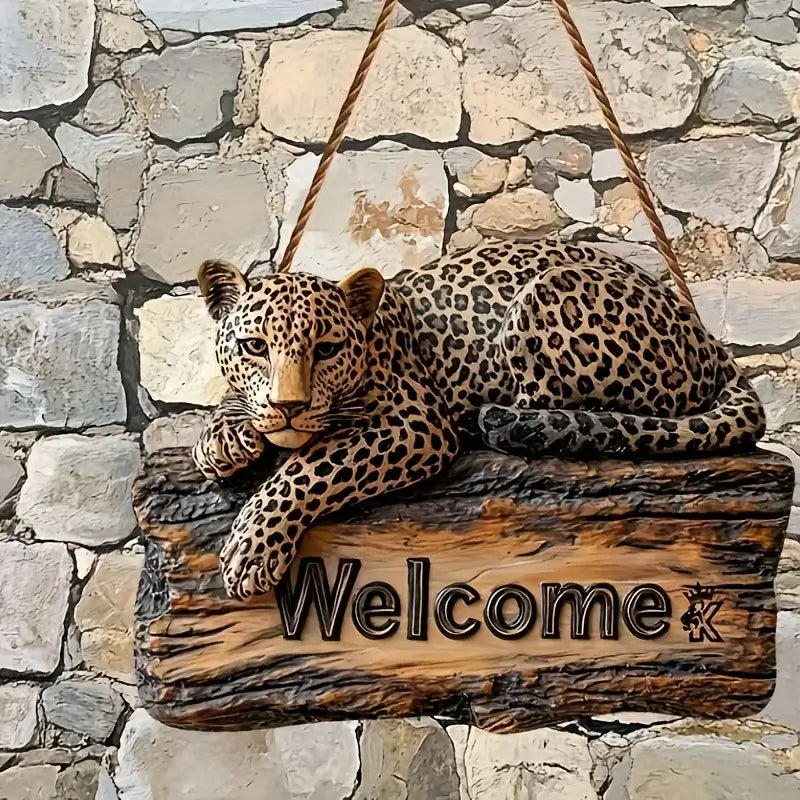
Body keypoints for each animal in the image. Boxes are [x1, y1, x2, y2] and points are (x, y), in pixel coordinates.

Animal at [193, 238, 766, 601]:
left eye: (328, 349)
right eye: (254, 346)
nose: (289, 406)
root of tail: (708, 338)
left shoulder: (414, 422)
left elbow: (310, 469)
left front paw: (251, 550)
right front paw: (222, 437)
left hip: (547, 294)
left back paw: (507, 423)